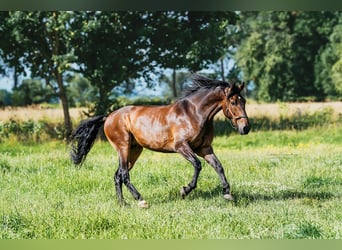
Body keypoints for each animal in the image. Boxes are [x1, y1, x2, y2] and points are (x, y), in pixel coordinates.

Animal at [70, 75, 251, 208]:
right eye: (233, 102)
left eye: (244, 101)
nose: (246, 128)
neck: (194, 113)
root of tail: (109, 117)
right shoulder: (181, 147)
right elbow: (197, 165)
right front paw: (184, 190)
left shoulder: (204, 148)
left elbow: (218, 166)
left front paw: (227, 193)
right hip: (123, 147)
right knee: (124, 174)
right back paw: (141, 200)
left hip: (134, 150)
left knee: (118, 175)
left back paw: (123, 203)